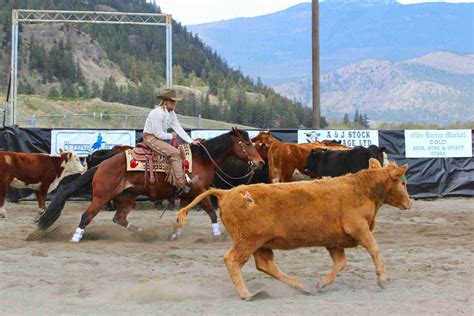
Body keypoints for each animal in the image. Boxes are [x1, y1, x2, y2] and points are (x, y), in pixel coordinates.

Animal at [36, 128, 266, 242]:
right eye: (247, 144)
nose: (260, 162)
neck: (202, 160)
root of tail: (101, 165)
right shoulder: (200, 191)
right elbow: (211, 213)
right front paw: (217, 236)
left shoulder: (186, 194)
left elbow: (181, 215)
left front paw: (174, 234)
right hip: (102, 196)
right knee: (87, 215)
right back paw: (76, 238)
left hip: (127, 197)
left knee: (119, 218)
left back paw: (143, 233)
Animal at [176, 159, 412, 300]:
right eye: (403, 183)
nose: (409, 203)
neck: (362, 188)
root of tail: (226, 193)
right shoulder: (358, 228)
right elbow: (374, 248)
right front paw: (382, 279)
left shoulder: (333, 241)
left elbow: (340, 262)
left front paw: (321, 284)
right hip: (247, 241)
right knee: (232, 260)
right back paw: (246, 294)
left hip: (261, 243)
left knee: (265, 265)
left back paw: (301, 287)